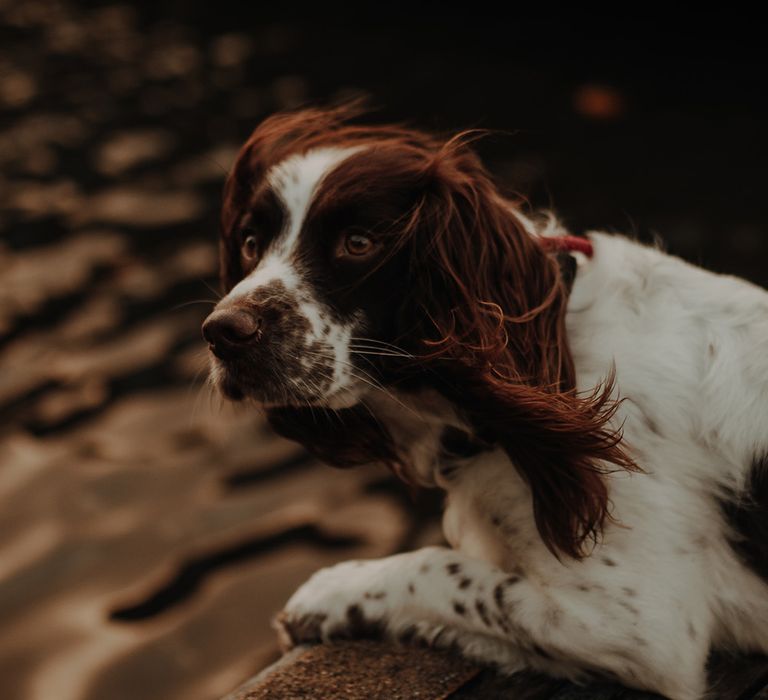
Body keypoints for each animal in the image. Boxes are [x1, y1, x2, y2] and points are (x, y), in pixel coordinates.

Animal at [204, 106, 768, 696]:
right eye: (250, 242)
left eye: (357, 243)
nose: (221, 332)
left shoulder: (640, 625)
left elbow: (446, 572)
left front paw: (328, 593)